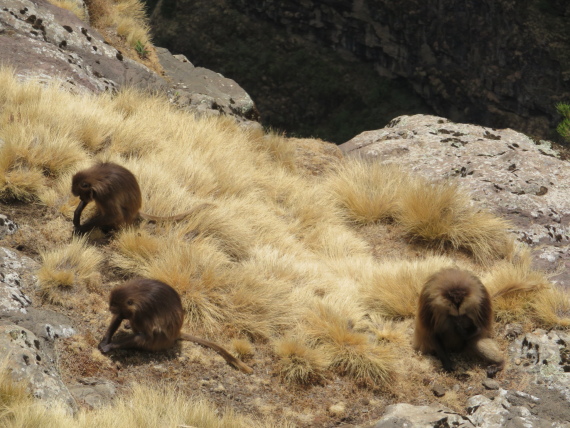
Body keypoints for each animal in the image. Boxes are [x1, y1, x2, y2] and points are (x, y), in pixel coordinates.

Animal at [71, 162, 209, 234]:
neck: (96, 177)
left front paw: (82, 228)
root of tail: (136, 212)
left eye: (81, 194)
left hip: (124, 215)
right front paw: (77, 215)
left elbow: (114, 215)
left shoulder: (104, 195)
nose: (83, 198)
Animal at [98, 278, 253, 374]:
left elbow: (145, 336)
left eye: (115, 308)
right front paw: (105, 341)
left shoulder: (142, 312)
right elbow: (117, 320)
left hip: (160, 340)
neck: (137, 294)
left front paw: (110, 346)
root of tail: (176, 333)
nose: (112, 310)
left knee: (152, 333)